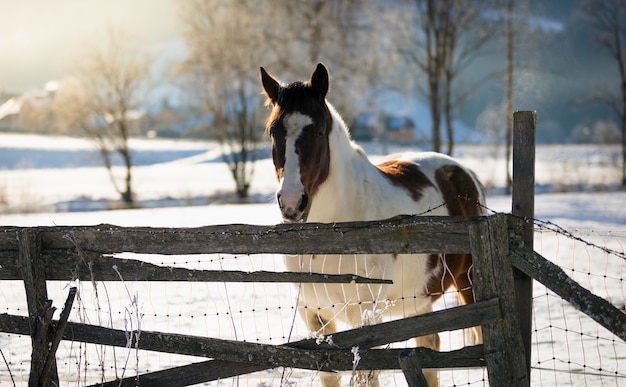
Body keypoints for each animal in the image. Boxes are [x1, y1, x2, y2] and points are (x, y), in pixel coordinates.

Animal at [258, 62, 482, 386]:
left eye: (319, 130)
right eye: (273, 131)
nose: (291, 202)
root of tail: (463, 173)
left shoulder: (364, 318)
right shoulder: (313, 316)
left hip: (469, 285)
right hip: (420, 301)